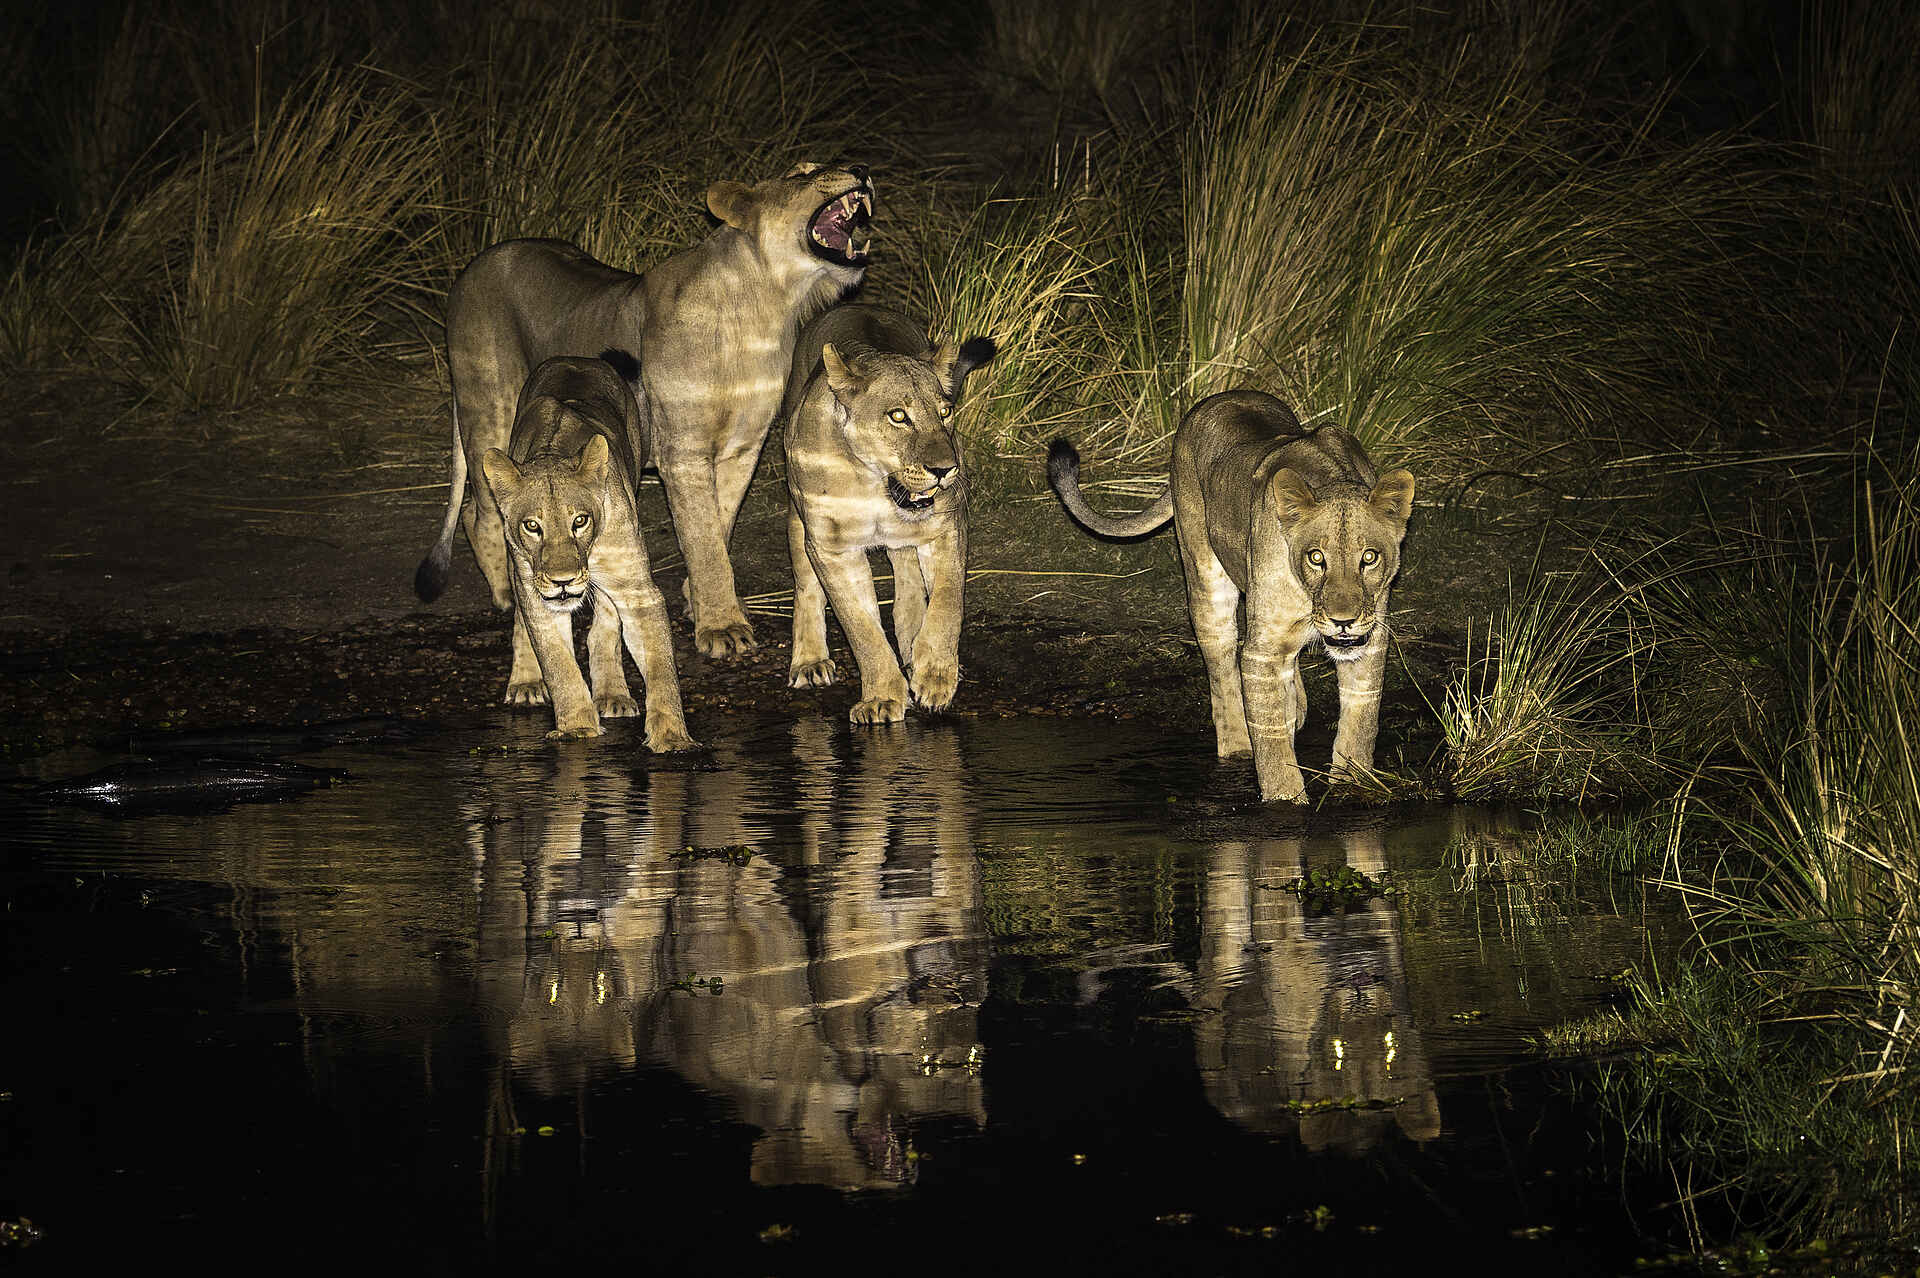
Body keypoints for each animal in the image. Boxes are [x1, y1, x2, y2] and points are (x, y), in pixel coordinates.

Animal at [414, 162, 873, 661]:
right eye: (801, 173)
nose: (859, 168)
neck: (765, 307)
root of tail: (473, 266)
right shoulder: (683, 452)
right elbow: (703, 539)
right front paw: (722, 627)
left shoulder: (742, 448)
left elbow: (720, 525)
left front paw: (698, 601)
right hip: (488, 406)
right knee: (480, 511)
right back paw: (503, 594)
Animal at [473, 354, 697, 749]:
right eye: (532, 526)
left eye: (580, 520)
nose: (563, 581)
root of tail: (575, 359)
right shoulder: (535, 593)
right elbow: (558, 664)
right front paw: (577, 727)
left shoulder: (638, 590)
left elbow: (661, 666)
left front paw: (672, 735)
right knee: (523, 623)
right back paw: (526, 682)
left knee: (605, 624)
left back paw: (612, 694)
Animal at [782, 304, 996, 723]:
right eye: (898, 416)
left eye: (945, 412)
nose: (945, 469)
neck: (874, 483)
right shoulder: (832, 547)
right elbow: (861, 628)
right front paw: (881, 697)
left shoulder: (947, 525)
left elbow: (947, 602)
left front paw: (935, 675)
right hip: (799, 518)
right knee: (806, 583)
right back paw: (810, 660)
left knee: (910, 584)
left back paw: (913, 651)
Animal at [1049, 390, 1415, 802]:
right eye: (1316, 557)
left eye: (1369, 557)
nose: (1343, 621)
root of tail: (1218, 397)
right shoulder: (1262, 651)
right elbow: (1271, 745)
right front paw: (1285, 803)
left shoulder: (1370, 639)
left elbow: (1360, 720)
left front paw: (1353, 783)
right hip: (1203, 570)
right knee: (1223, 669)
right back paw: (1239, 745)